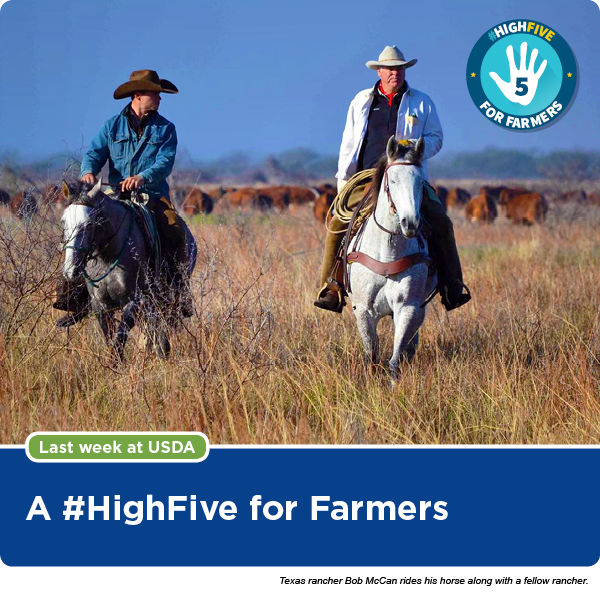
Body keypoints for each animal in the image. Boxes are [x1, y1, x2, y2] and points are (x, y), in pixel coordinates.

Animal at [61, 179, 197, 358]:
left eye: (90, 224)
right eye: (63, 222)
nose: (70, 270)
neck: (109, 257)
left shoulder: (134, 302)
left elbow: (119, 340)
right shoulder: (100, 305)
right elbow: (111, 341)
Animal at [346, 137, 436, 374]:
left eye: (420, 181)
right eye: (392, 180)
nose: (410, 223)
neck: (388, 255)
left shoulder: (408, 308)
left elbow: (396, 360)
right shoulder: (364, 310)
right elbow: (371, 356)